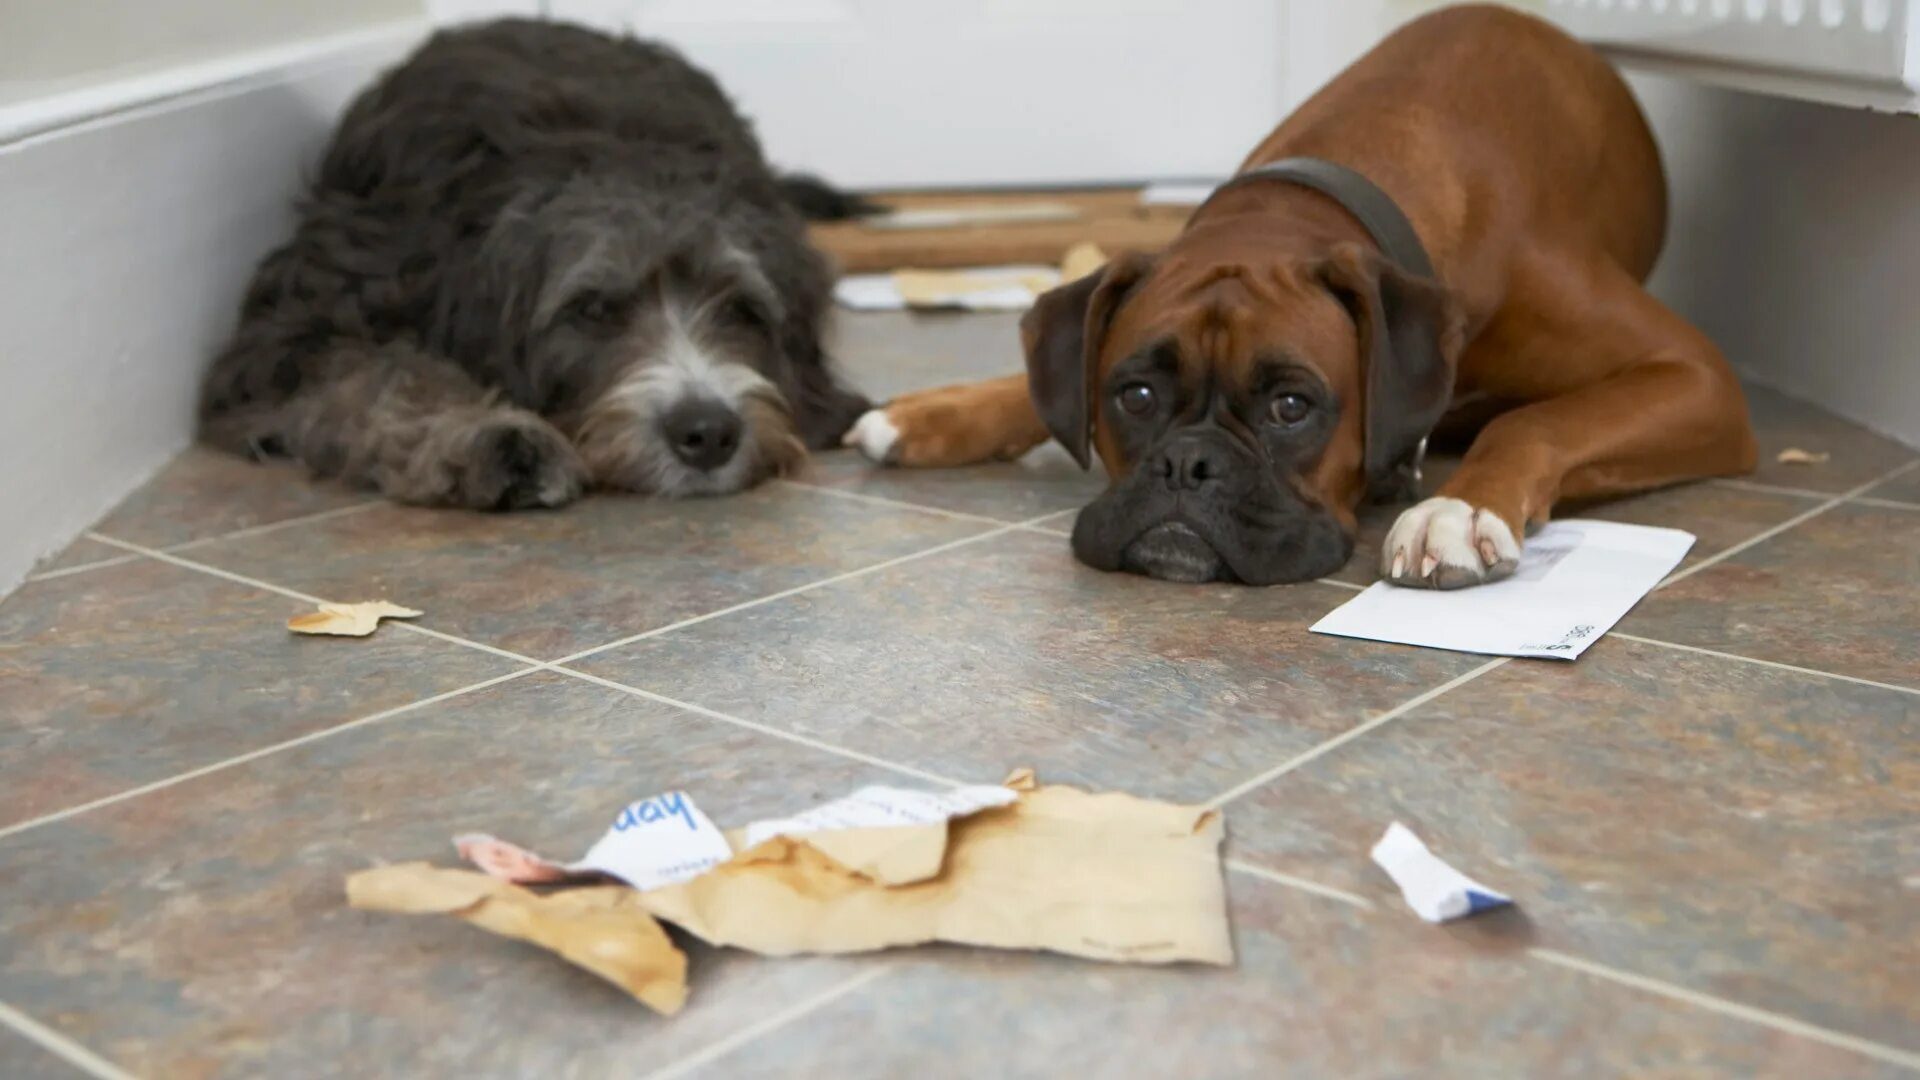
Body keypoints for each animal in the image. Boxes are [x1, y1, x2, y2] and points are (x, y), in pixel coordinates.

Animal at [198, 16, 875, 503]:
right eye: (593, 309)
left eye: (742, 309)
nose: (708, 433)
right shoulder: (286, 336)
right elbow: (379, 373)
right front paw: (488, 435)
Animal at [840, 4, 1758, 584]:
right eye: (1135, 397)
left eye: (1291, 408)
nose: (1187, 463)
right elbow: (1046, 382)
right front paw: (940, 410)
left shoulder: (1696, 375)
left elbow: (1536, 422)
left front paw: (1458, 509)